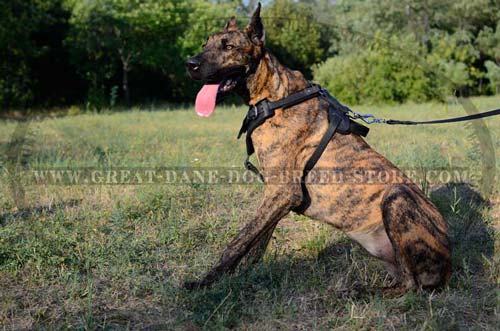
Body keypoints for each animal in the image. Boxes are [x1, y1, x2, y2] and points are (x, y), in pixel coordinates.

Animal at [186, 3, 452, 294]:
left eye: (229, 46)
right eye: (205, 43)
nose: (190, 64)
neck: (273, 97)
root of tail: (449, 266)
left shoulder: (282, 191)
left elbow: (238, 241)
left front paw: (205, 282)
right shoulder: (277, 193)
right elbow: (258, 240)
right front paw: (247, 274)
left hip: (397, 197)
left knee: (411, 284)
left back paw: (359, 291)